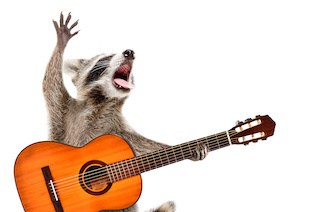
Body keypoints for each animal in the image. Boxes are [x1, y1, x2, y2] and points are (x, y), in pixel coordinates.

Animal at [42, 12, 208, 212]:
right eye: (106, 58)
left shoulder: (118, 128)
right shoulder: (63, 109)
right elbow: (49, 85)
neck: (101, 101)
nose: (130, 52)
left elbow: (142, 144)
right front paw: (61, 41)